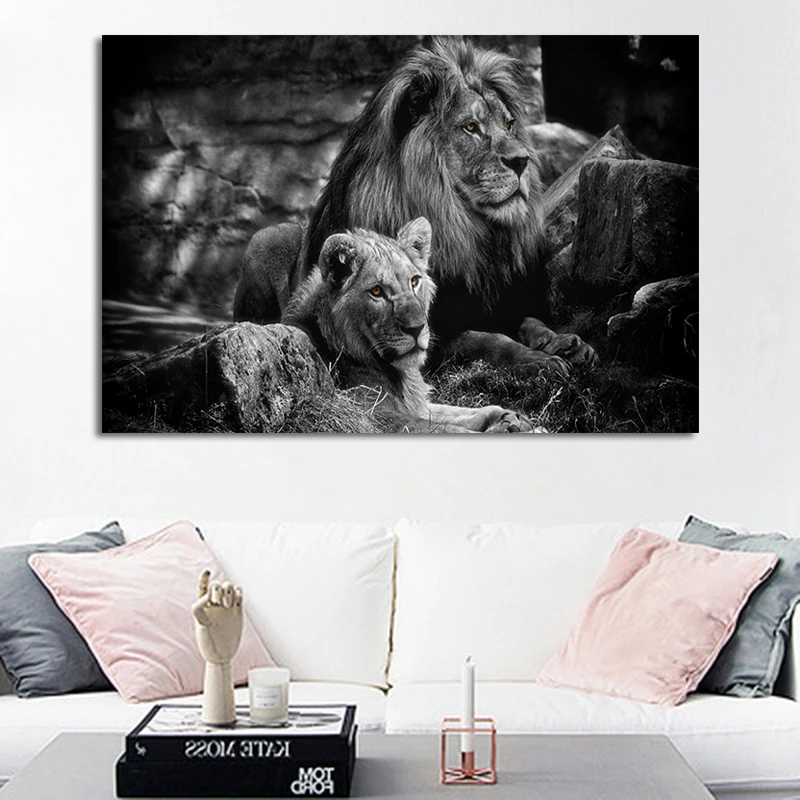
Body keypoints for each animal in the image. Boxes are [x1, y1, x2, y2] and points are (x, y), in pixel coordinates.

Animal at [234, 36, 596, 375]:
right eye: (470, 127)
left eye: (508, 125)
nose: (522, 161)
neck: (466, 231)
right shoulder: (426, 338)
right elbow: (489, 340)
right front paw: (538, 360)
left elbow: (530, 321)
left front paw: (563, 342)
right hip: (268, 238)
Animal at [283, 217, 535, 433]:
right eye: (377, 291)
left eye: (414, 281)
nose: (417, 328)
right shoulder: (371, 416)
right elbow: (446, 429)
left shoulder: (418, 405)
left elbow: (458, 413)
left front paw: (509, 418)